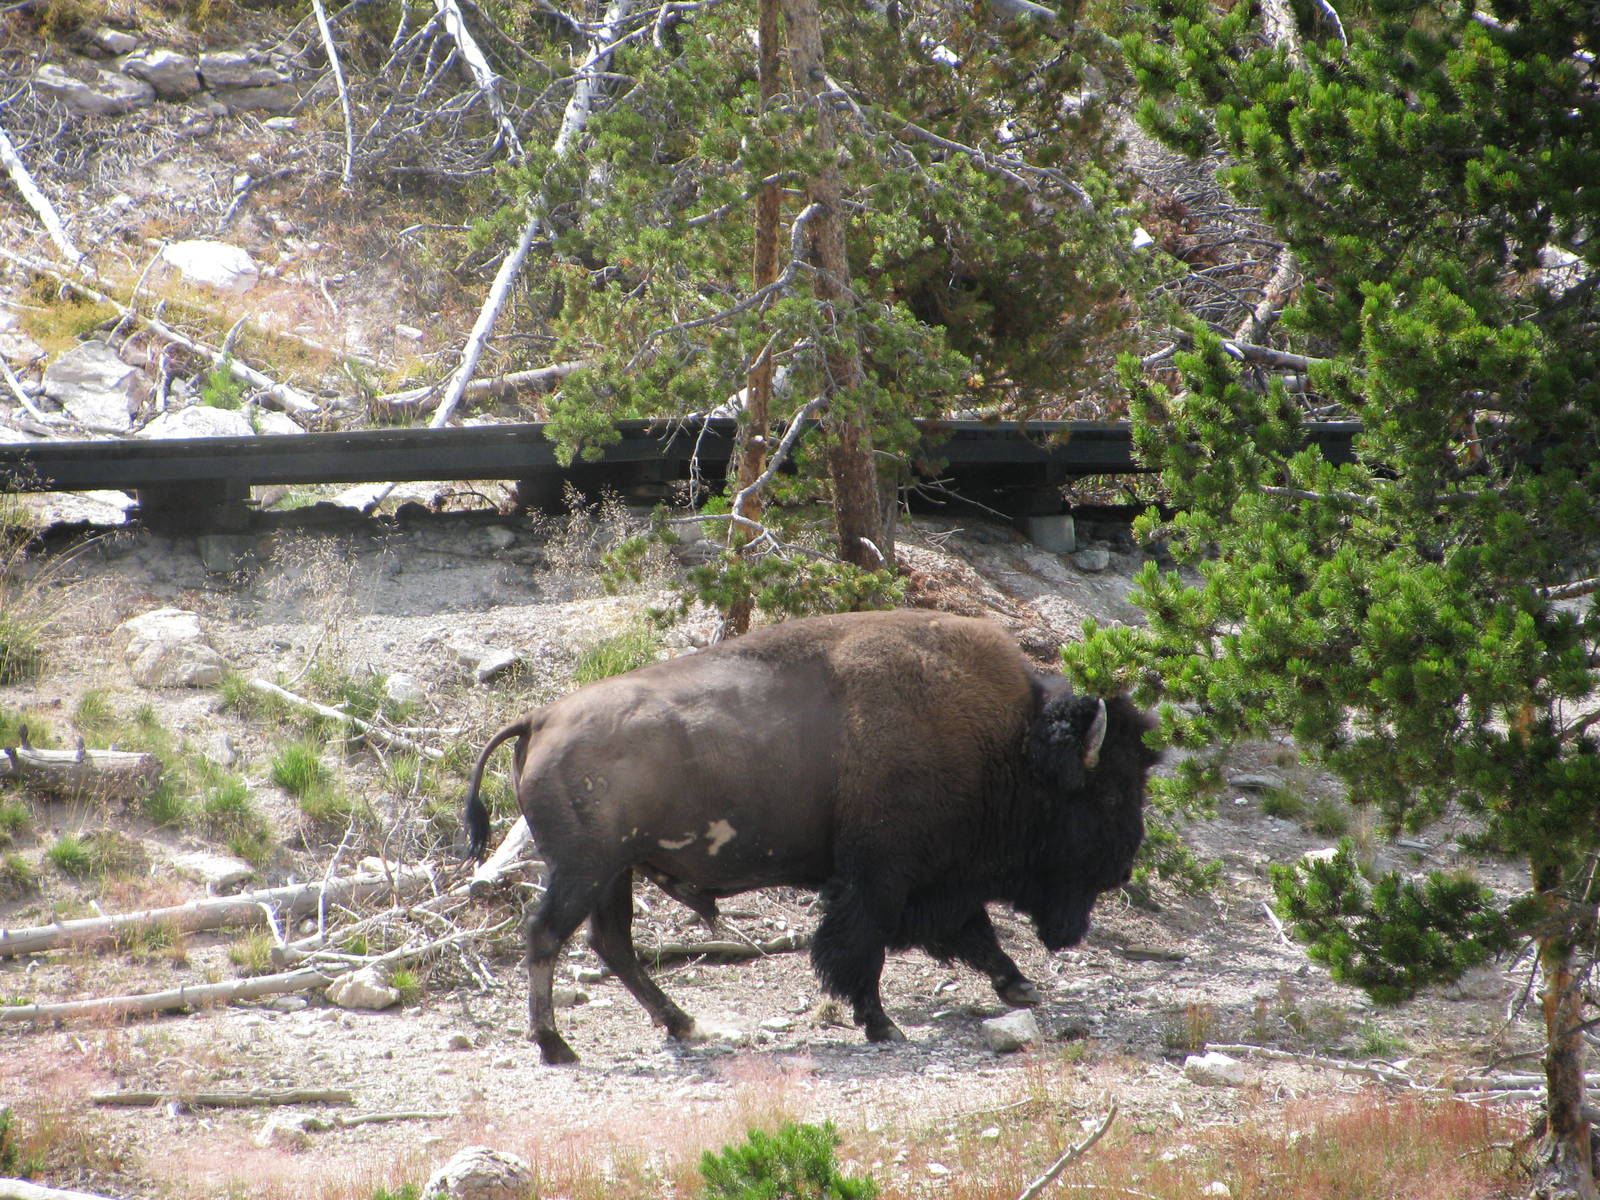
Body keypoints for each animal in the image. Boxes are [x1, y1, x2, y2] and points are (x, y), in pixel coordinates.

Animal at [464, 608, 1158, 1064]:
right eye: (1110, 792)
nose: (1123, 865)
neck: (1009, 743)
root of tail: (540, 717)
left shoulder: (932, 883)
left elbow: (972, 934)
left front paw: (1018, 985)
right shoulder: (882, 878)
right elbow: (863, 949)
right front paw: (882, 1025)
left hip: (614, 872)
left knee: (611, 945)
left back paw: (681, 1025)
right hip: (584, 869)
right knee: (547, 935)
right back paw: (557, 1046)